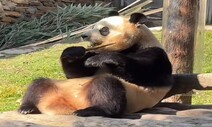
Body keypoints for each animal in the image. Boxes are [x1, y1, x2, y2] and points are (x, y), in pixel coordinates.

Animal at [18, 12, 174, 117]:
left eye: (104, 30)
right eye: (93, 26)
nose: (84, 35)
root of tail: (70, 106)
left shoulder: (155, 53)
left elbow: (143, 72)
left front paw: (98, 60)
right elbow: (76, 73)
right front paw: (74, 52)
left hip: (130, 95)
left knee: (107, 87)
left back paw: (91, 110)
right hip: (59, 86)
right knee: (39, 84)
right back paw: (27, 108)